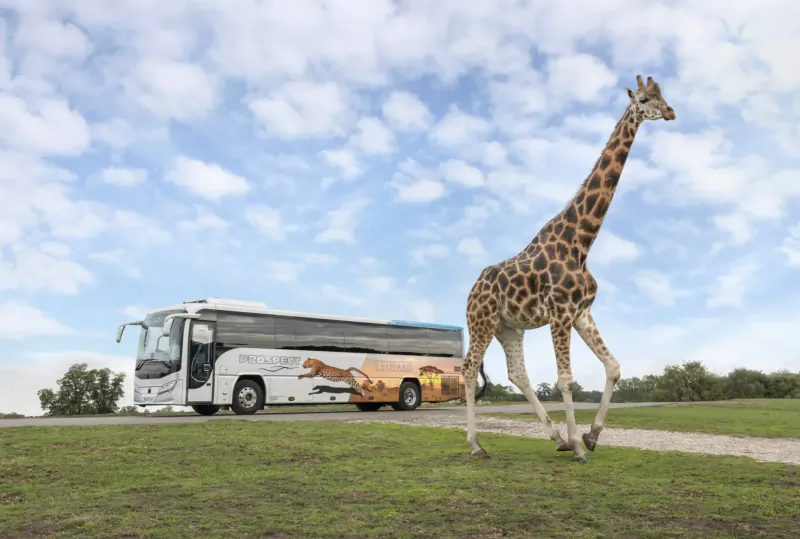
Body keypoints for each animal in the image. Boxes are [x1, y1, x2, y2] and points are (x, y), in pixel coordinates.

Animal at [462, 75, 675, 463]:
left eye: (663, 95)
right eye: (645, 99)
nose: (670, 112)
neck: (582, 243)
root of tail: (471, 289)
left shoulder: (581, 313)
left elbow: (614, 366)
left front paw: (590, 435)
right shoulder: (560, 313)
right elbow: (565, 378)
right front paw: (579, 447)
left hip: (509, 328)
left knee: (517, 373)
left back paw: (555, 436)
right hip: (481, 321)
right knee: (469, 368)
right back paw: (476, 444)